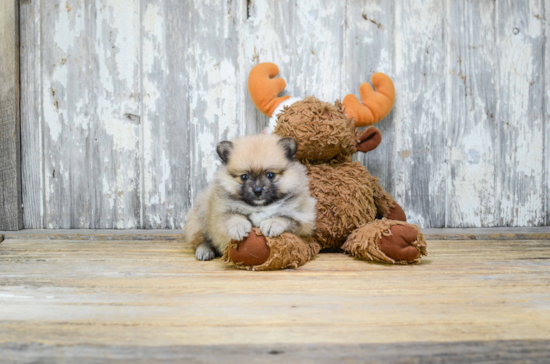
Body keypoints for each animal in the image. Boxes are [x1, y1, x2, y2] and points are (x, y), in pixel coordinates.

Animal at [185, 135, 316, 260]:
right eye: (244, 177)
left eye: (270, 175)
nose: (257, 190)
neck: (259, 206)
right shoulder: (221, 215)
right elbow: (234, 217)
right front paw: (239, 227)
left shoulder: (303, 218)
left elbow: (284, 217)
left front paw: (272, 223)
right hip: (200, 220)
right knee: (201, 241)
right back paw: (204, 251)